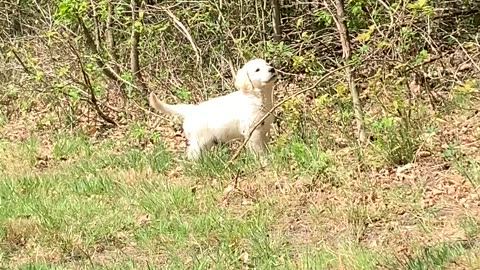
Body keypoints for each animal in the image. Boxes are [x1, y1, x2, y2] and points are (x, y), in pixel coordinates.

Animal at [150, 58, 278, 160]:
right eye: (257, 70)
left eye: (267, 64)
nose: (272, 69)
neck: (257, 96)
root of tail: (191, 110)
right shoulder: (253, 130)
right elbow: (259, 149)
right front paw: (263, 160)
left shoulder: (265, 128)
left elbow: (265, 145)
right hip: (199, 140)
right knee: (192, 154)